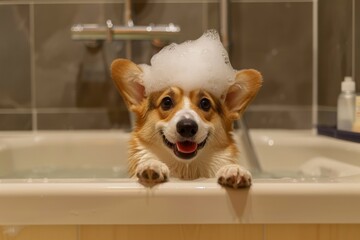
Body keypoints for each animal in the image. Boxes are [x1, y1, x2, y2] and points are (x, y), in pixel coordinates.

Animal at [110, 59, 262, 188]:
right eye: (166, 102)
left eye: (205, 103)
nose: (187, 127)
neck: (187, 170)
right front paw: (152, 165)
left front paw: (234, 170)